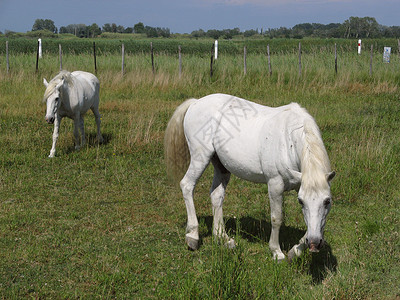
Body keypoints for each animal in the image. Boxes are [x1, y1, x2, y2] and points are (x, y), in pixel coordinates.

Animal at [164, 93, 336, 260]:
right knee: (187, 185)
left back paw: (223, 238)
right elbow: (276, 218)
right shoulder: (275, 184)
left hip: (220, 166)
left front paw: (295, 251)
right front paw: (276, 252)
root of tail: (195, 102)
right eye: (300, 201)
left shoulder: (302, 184)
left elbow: (316, 224)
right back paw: (193, 236)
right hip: (200, 157)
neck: (288, 140)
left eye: (327, 201)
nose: (314, 243)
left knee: (216, 195)